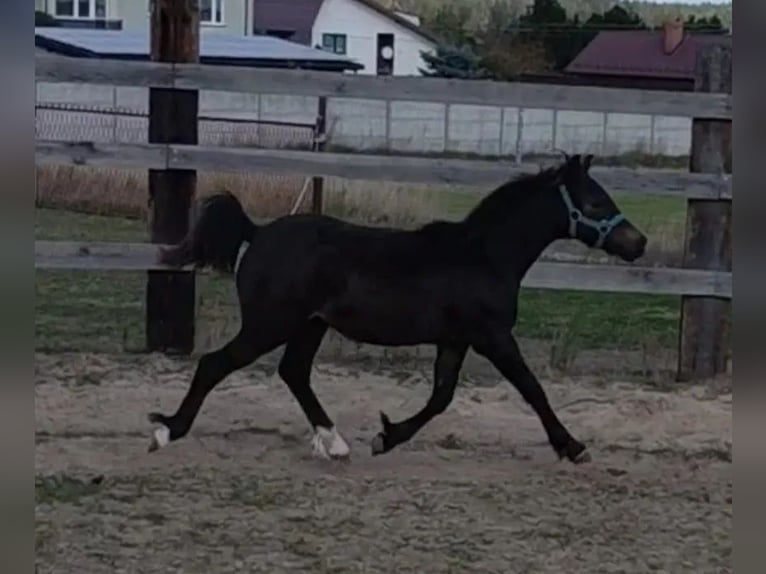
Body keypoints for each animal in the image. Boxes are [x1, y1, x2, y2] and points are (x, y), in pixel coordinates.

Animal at [147, 155, 644, 466]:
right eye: (596, 201)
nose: (637, 244)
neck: (482, 256)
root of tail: (258, 232)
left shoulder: (455, 340)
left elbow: (441, 397)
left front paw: (386, 437)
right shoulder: (492, 337)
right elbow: (532, 389)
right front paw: (573, 447)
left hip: (309, 326)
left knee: (294, 372)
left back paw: (335, 444)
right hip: (271, 323)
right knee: (216, 364)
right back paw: (167, 430)